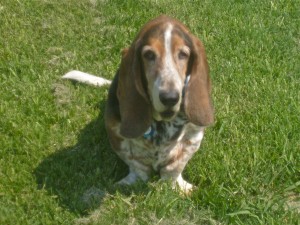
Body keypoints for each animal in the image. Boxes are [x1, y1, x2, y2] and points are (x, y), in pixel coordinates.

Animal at [63, 14, 213, 192]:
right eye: (148, 55)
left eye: (183, 54)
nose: (170, 97)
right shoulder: (115, 132)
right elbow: (136, 165)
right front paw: (130, 183)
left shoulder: (195, 134)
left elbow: (175, 166)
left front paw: (177, 187)